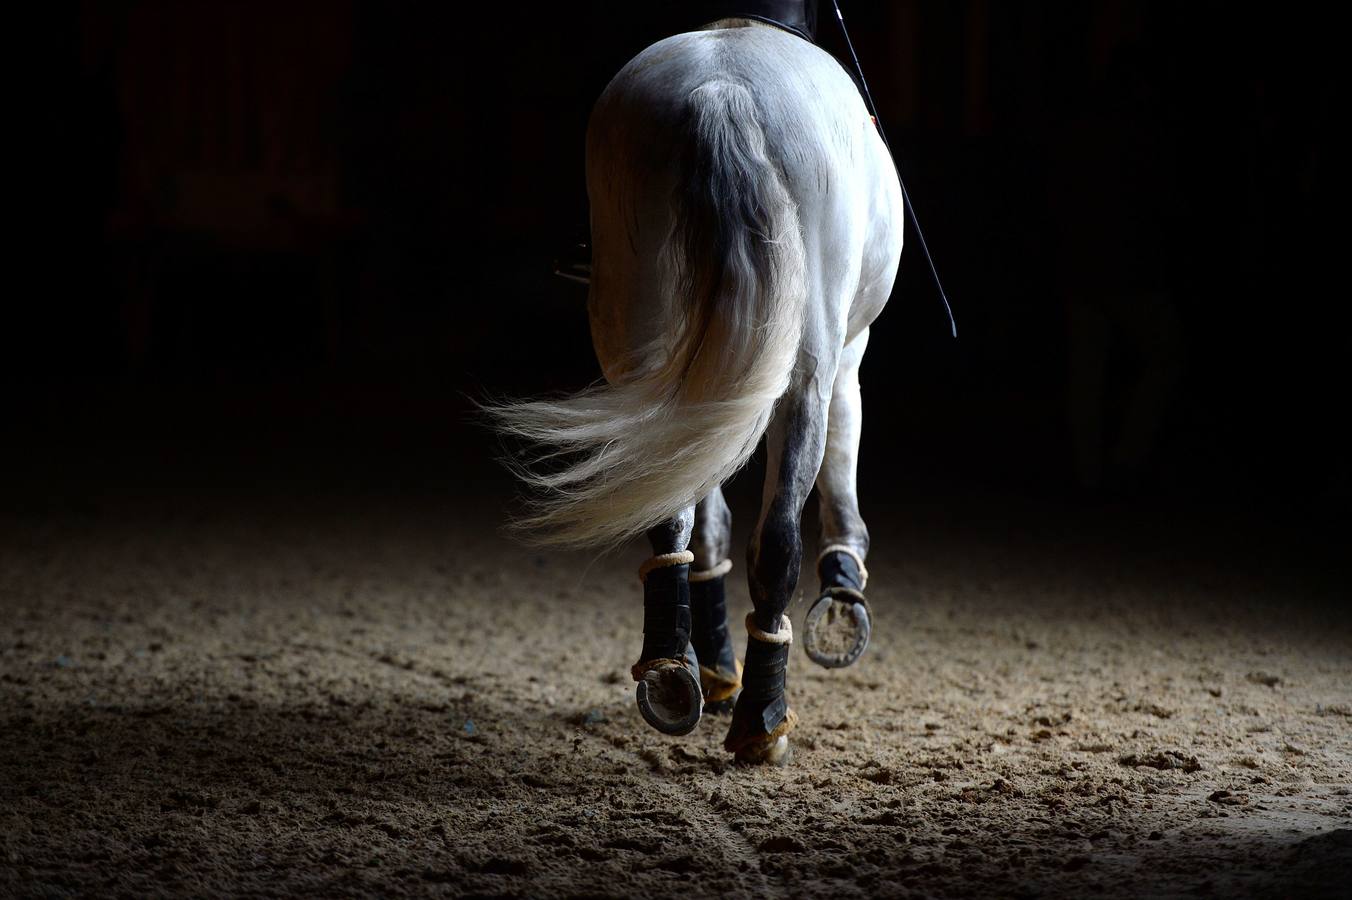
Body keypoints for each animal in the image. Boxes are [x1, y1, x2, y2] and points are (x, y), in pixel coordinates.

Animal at [492, 15, 903, 756]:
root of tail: (721, 90)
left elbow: (706, 514)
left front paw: (715, 670)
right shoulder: (848, 356)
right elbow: (840, 466)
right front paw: (843, 592)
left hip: (650, 343)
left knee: (671, 502)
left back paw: (675, 674)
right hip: (804, 371)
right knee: (776, 540)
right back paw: (763, 721)